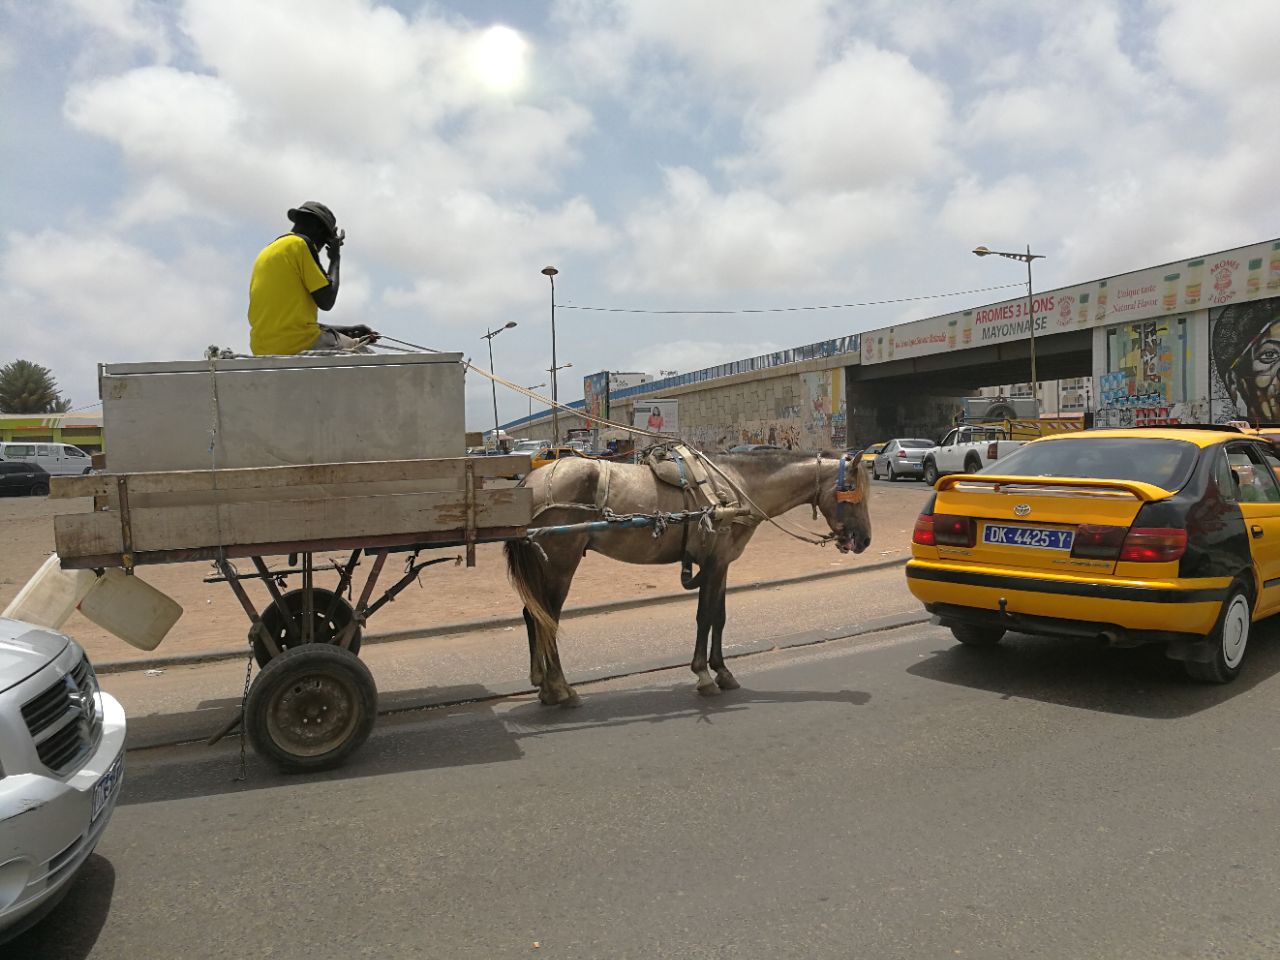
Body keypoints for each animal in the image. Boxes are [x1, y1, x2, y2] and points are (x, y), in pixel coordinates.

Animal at [504, 450, 875, 706]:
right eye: (850, 489)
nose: (865, 540)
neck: (735, 489)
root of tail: (531, 482)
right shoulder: (712, 563)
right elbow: (704, 616)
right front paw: (703, 674)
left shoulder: (722, 563)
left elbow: (719, 617)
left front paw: (722, 670)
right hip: (560, 566)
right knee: (548, 620)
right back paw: (560, 688)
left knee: (533, 615)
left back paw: (543, 684)